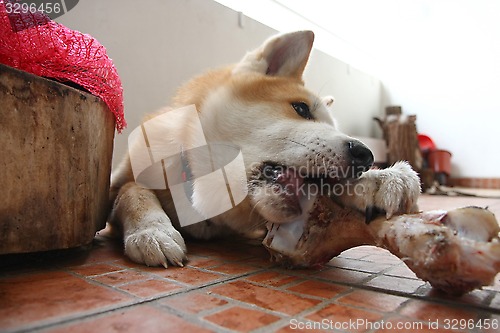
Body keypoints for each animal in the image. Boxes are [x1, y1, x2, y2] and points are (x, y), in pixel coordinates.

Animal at [110, 30, 422, 268]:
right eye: (301, 109)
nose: (365, 156)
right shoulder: (119, 182)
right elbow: (133, 191)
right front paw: (152, 230)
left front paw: (378, 180)